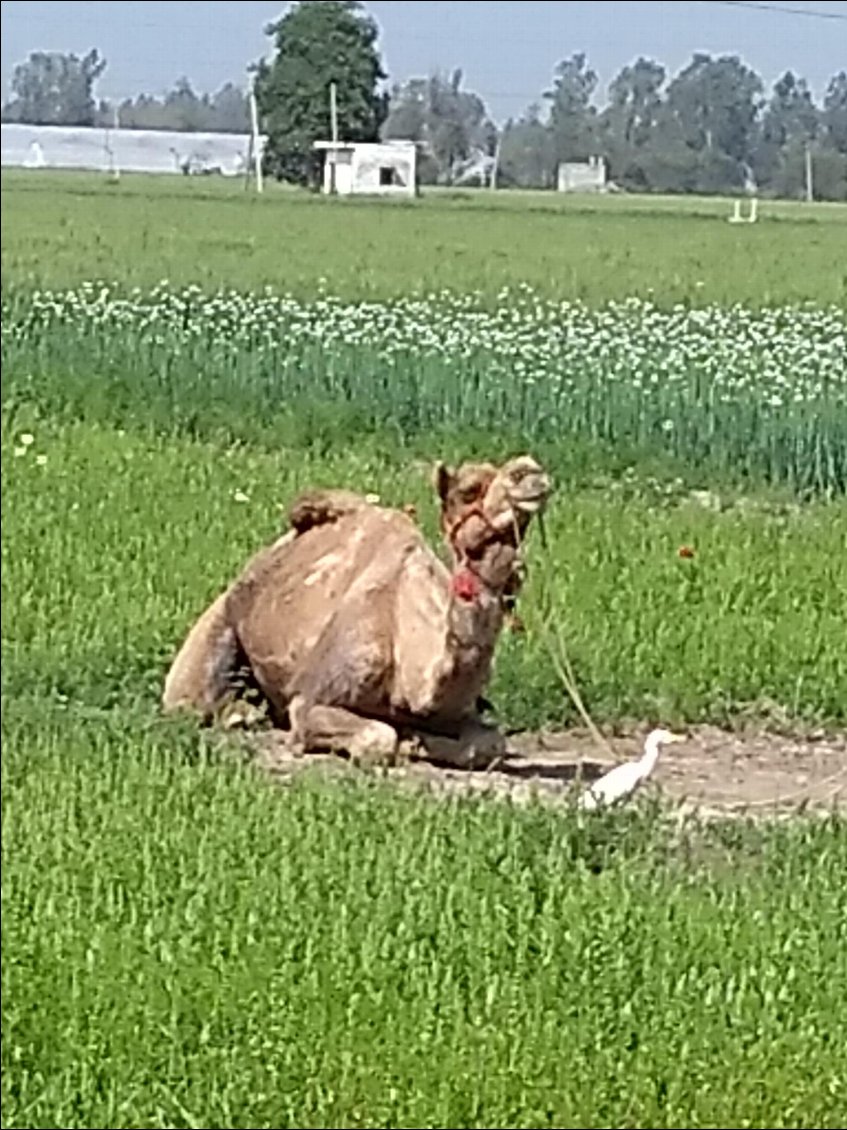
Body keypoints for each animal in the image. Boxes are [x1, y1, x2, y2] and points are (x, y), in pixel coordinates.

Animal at [162, 456, 553, 768]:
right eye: (469, 490)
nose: (530, 470)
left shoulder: (459, 710)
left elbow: (490, 744)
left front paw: (417, 740)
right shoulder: (312, 697)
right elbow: (376, 737)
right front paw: (406, 742)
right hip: (216, 626)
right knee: (191, 697)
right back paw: (241, 715)